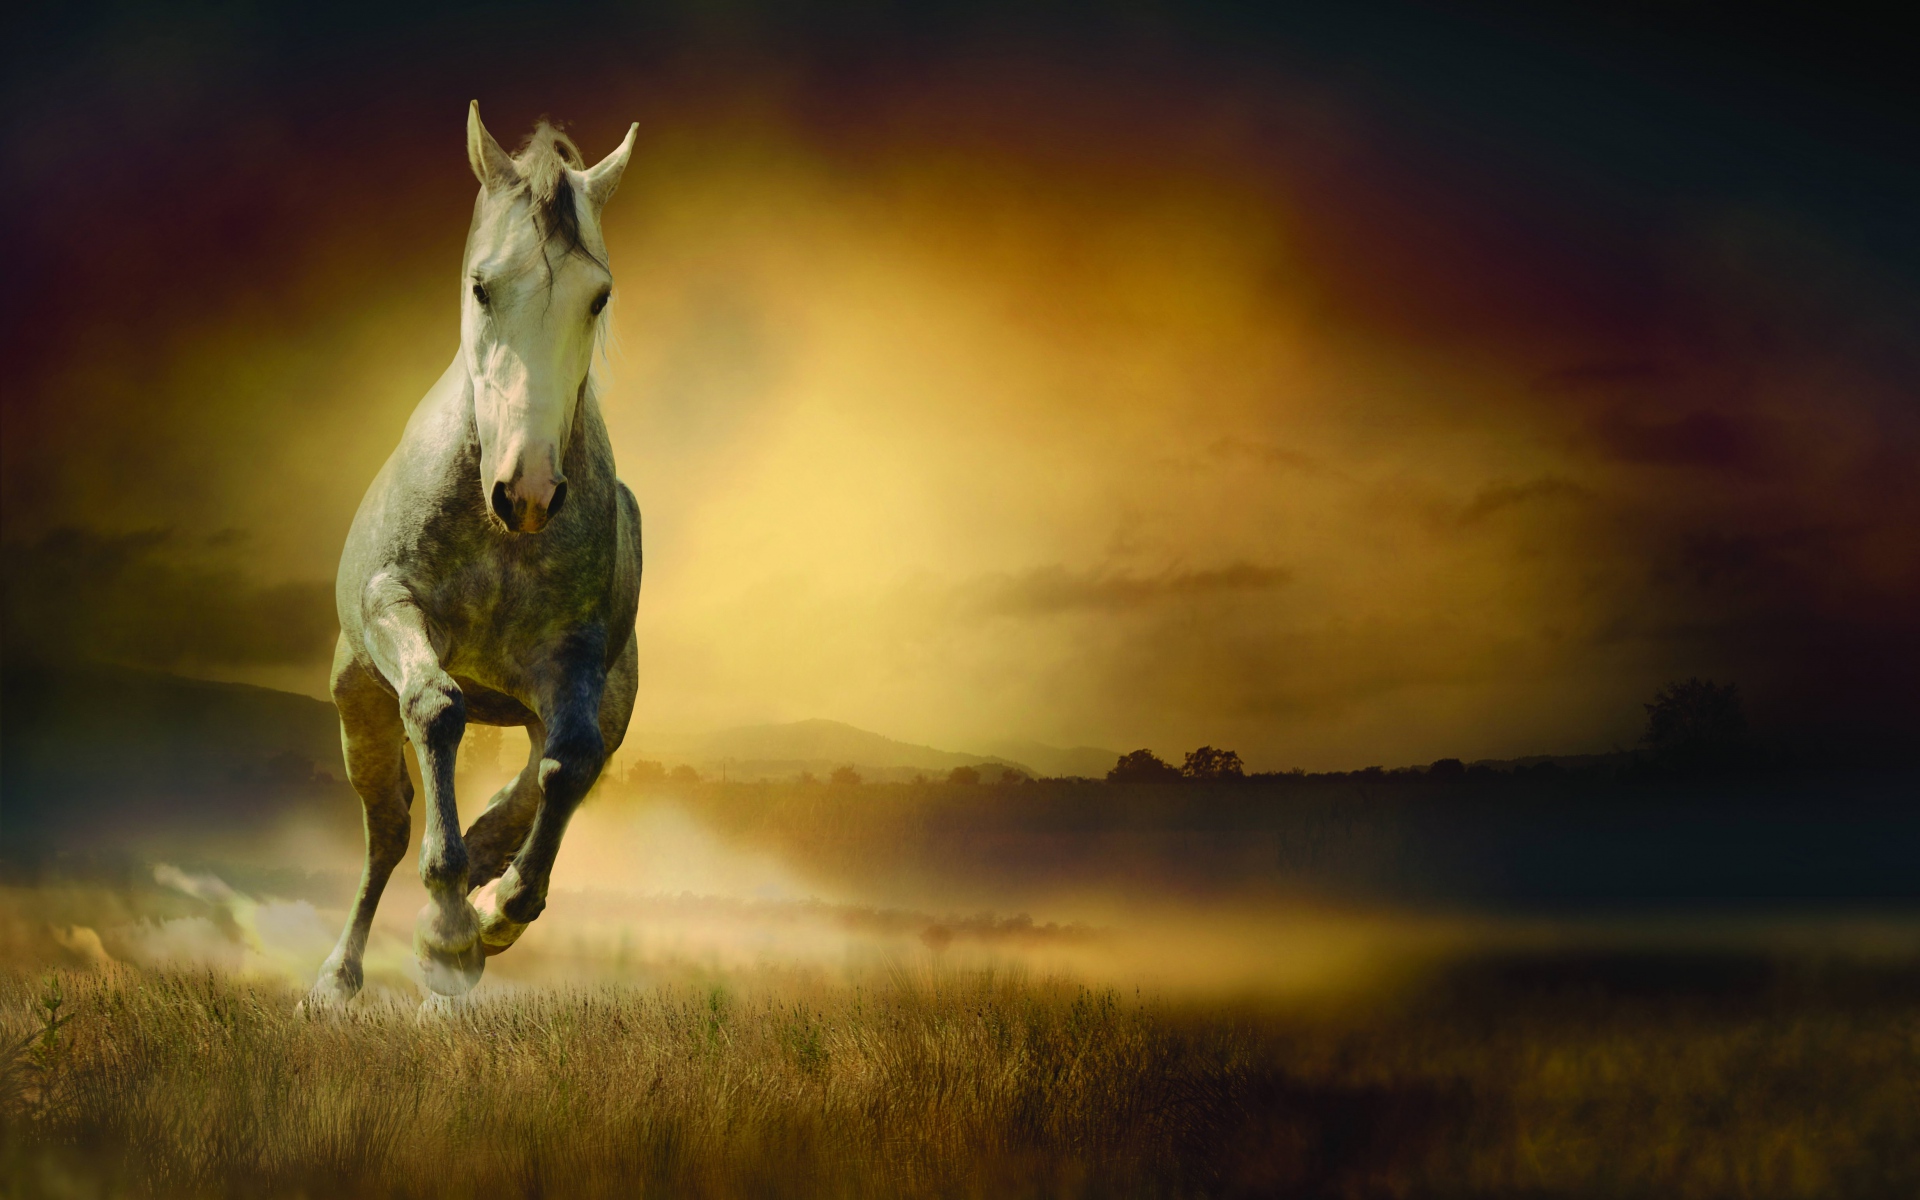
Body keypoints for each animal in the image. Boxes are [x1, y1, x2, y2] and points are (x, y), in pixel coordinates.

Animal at [307, 103, 643, 1005]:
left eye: (599, 296)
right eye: (482, 287)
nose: (524, 491)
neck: (501, 542)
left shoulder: (576, 660)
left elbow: (570, 761)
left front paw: (494, 912)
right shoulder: (397, 611)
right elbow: (438, 708)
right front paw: (449, 928)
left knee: (541, 783)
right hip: (359, 706)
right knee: (387, 831)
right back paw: (340, 979)